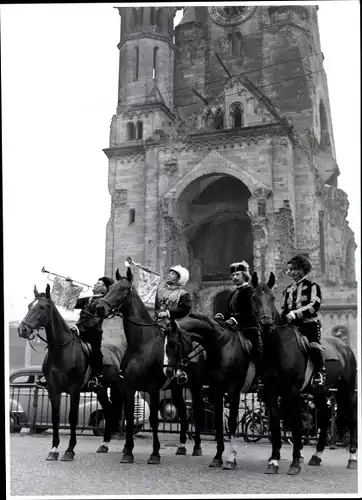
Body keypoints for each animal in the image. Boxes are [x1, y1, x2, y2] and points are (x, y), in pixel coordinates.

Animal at [18, 286, 126, 460]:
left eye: (42, 307)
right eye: (29, 306)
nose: (23, 329)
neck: (62, 350)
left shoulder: (74, 390)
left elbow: (73, 418)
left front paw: (69, 450)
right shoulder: (53, 390)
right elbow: (55, 417)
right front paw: (54, 449)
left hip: (117, 388)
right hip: (101, 390)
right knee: (109, 411)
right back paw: (104, 444)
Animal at [165, 310, 253, 466]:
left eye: (175, 344)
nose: (169, 371)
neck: (222, 346)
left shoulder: (231, 390)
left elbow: (231, 421)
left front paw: (231, 458)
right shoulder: (214, 388)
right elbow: (216, 421)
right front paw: (218, 456)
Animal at [247, 272, 358, 474]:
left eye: (272, 298)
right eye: (254, 298)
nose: (266, 324)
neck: (278, 348)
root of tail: (344, 346)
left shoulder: (292, 392)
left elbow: (296, 424)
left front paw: (295, 463)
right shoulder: (271, 392)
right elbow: (276, 425)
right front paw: (274, 461)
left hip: (347, 391)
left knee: (352, 417)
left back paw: (352, 458)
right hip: (320, 392)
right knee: (325, 416)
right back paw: (317, 455)